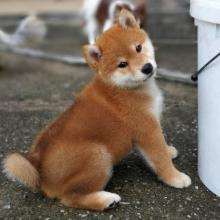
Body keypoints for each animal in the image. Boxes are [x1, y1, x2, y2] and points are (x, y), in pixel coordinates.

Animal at [2, 9, 191, 211]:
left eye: (138, 48)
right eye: (122, 64)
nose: (147, 68)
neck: (124, 88)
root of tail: (37, 162)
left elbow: (159, 151)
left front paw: (169, 151)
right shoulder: (147, 129)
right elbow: (160, 158)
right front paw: (175, 177)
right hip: (99, 156)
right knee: (70, 198)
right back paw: (107, 200)